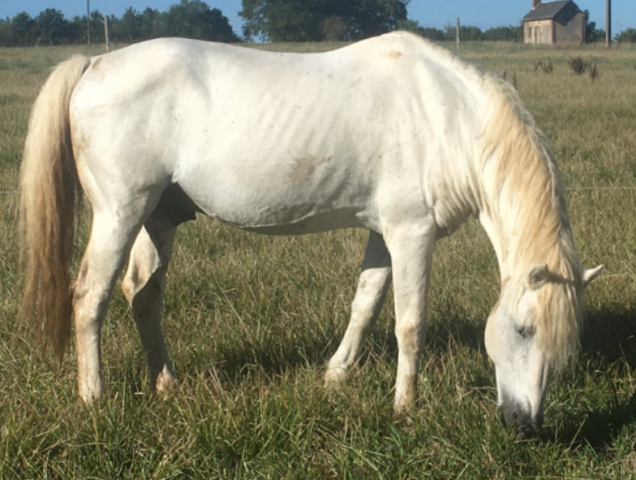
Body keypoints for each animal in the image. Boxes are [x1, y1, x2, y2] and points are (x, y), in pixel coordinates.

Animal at [18, 31, 596, 438]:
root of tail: (94, 64)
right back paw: (93, 398)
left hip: (156, 218)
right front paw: (405, 407)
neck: (446, 117)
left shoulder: (383, 232)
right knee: (89, 296)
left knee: (143, 296)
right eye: (523, 330)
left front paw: (336, 375)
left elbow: (365, 302)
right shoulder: (412, 233)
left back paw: (166, 384)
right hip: (120, 213)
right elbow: (409, 323)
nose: (523, 424)